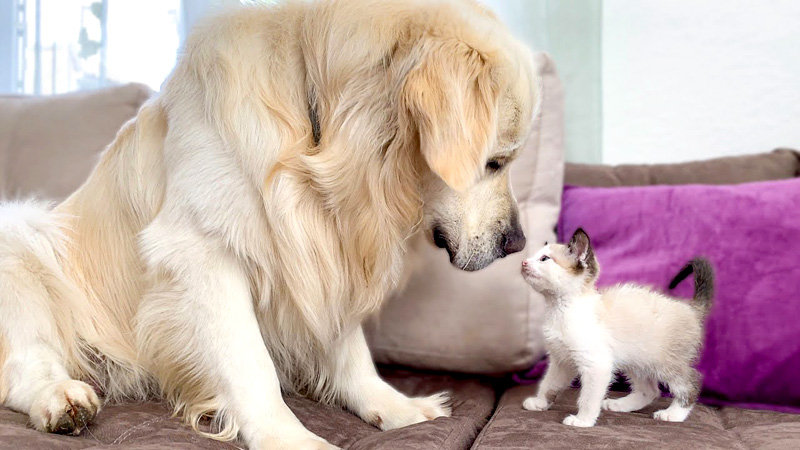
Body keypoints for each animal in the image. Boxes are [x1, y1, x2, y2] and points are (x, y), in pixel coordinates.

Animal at [0, 0, 540, 446]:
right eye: (494, 162)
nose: (517, 242)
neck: (316, 139)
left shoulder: (327, 244)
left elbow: (349, 348)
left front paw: (393, 406)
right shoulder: (201, 250)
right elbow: (249, 362)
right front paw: (289, 437)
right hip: (21, 239)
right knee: (24, 366)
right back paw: (60, 401)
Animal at [520, 229, 716, 426]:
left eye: (544, 259)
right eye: (534, 256)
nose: (523, 262)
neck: (558, 309)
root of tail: (690, 307)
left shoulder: (596, 364)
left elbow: (588, 397)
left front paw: (583, 420)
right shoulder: (561, 361)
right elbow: (549, 384)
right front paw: (540, 402)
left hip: (664, 362)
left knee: (691, 383)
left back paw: (673, 414)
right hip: (638, 360)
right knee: (650, 391)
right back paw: (619, 405)